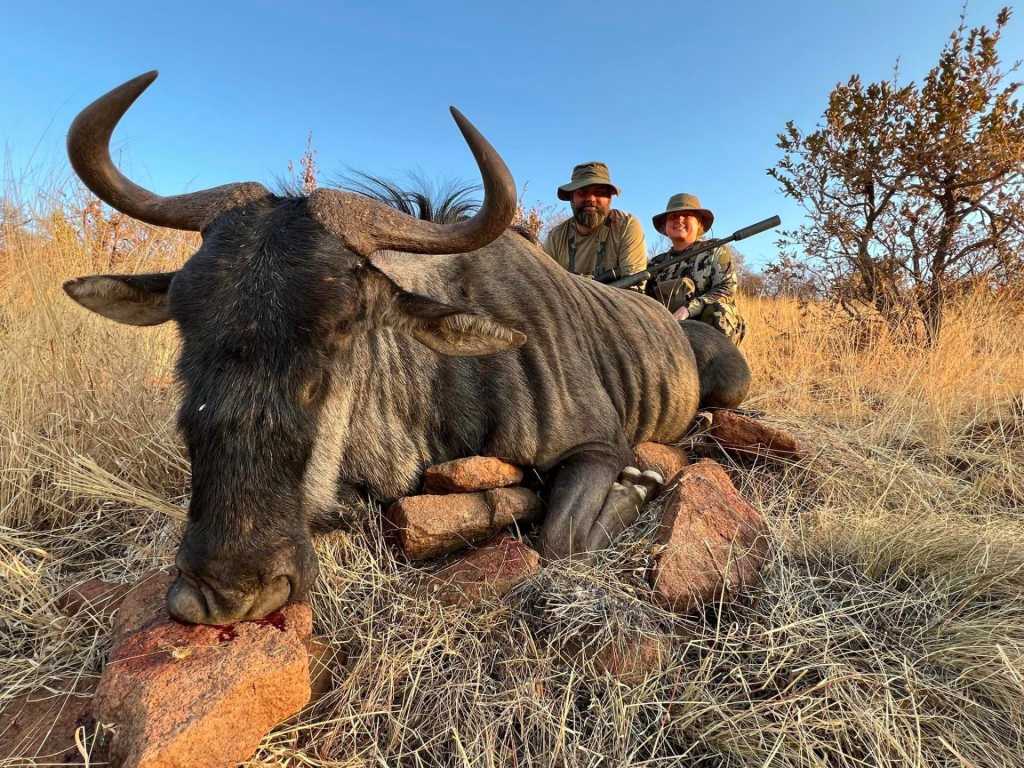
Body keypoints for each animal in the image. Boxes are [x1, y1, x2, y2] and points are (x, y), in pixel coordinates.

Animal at [63, 71, 750, 625]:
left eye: (346, 324)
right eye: (185, 321)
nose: (224, 590)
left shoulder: (598, 447)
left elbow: (560, 541)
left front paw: (640, 484)